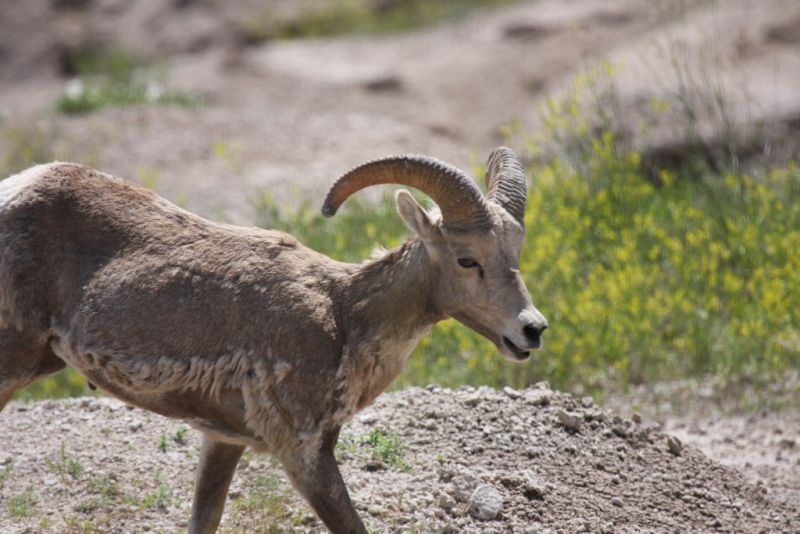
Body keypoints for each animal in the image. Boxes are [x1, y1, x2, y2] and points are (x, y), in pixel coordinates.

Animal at [0, 148, 548, 534]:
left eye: (515, 253)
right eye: (467, 260)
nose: (532, 329)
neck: (343, 315)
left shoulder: (225, 439)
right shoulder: (302, 453)